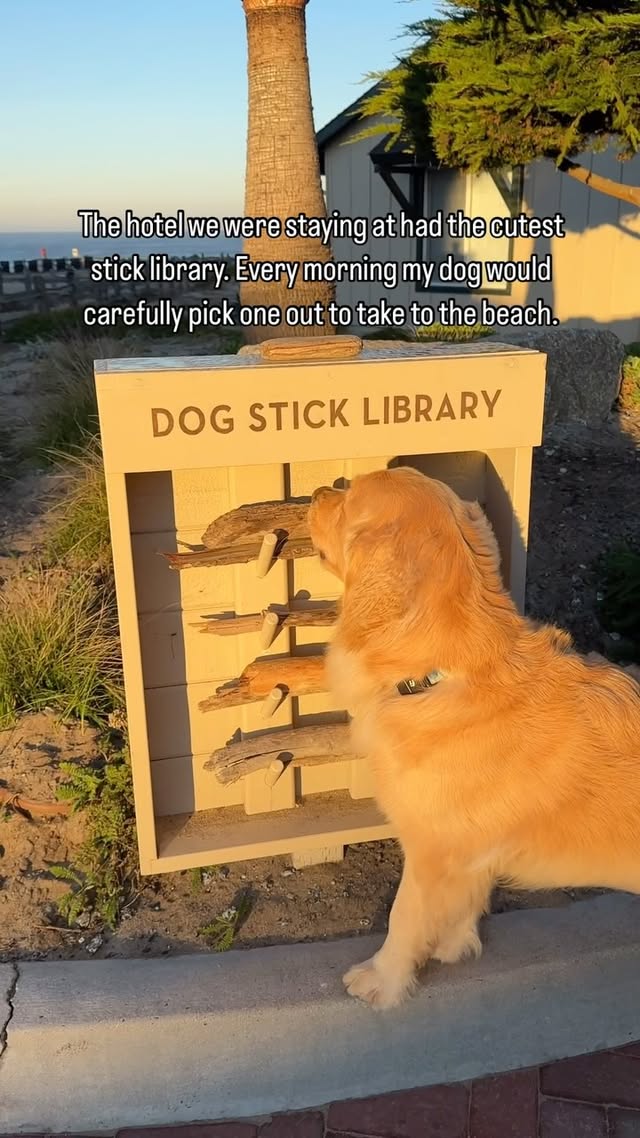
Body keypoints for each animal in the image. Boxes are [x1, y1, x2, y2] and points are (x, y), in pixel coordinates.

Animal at [307, 466, 633, 1010]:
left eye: (349, 497)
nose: (316, 490)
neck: (444, 674)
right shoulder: (467, 854)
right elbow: (464, 903)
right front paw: (452, 946)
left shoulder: (432, 852)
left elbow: (403, 918)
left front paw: (383, 980)